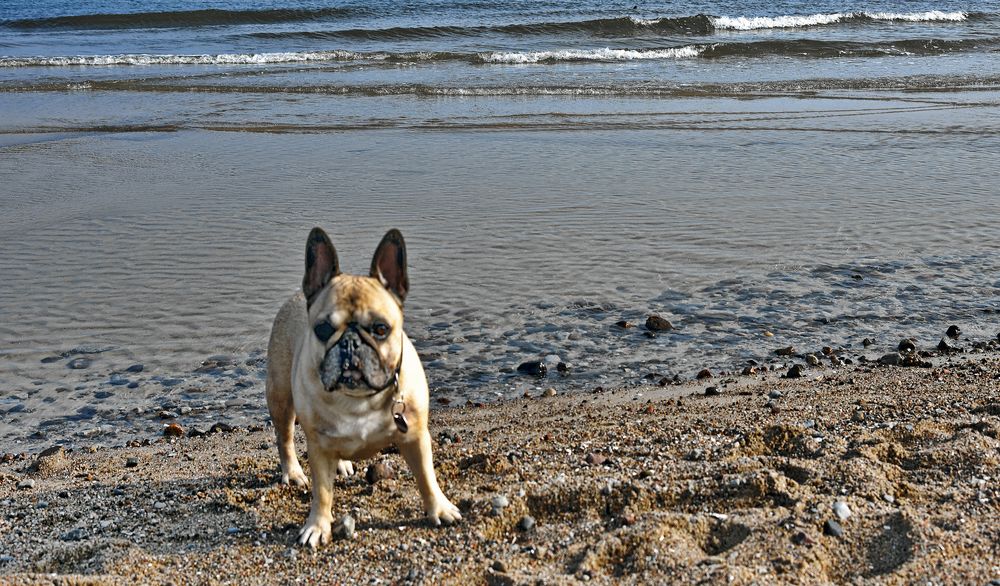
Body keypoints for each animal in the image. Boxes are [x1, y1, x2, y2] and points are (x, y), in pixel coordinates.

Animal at [266, 226, 460, 544]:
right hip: (281, 398)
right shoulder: (319, 447)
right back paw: (293, 472)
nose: (350, 343)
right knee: (285, 439)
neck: (358, 397)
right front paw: (317, 526)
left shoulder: (415, 437)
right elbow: (322, 492)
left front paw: (439, 509)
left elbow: (426, 476)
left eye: (381, 329)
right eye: (323, 329)